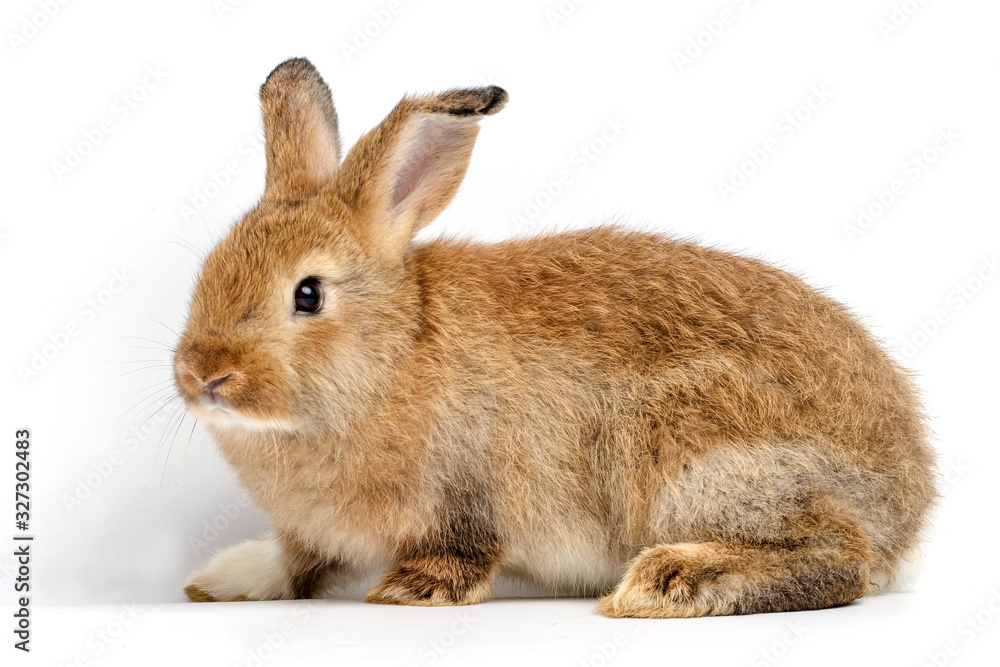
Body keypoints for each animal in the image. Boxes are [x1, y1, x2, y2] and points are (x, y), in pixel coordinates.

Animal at [174, 57, 936, 618]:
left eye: (308, 294)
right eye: (207, 271)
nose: (204, 374)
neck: (389, 354)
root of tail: (909, 500)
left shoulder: (470, 494)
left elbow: (460, 550)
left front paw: (409, 592)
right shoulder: (318, 533)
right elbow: (298, 561)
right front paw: (224, 580)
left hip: (697, 449)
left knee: (841, 556)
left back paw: (665, 583)